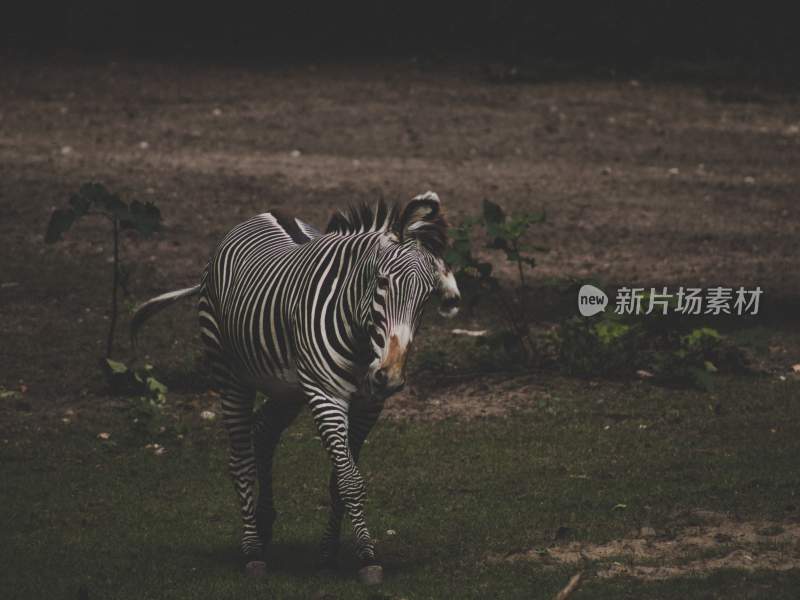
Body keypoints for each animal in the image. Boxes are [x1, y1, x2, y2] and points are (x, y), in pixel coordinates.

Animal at [129, 191, 460, 580]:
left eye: (426, 297)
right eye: (381, 282)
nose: (389, 376)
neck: (361, 340)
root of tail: (262, 213)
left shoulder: (367, 406)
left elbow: (340, 479)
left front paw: (329, 553)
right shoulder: (326, 396)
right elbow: (351, 480)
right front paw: (367, 557)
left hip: (287, 390)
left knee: (262, 432)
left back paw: (263, 525)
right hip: (230, 375)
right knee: (240, 458)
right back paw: (252, 550)